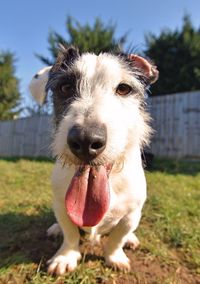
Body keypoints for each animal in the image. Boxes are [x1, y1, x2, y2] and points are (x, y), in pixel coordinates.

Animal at [29, 46, 158, 276]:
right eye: (65, 87)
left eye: (124, 88)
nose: (86, 140)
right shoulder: (61, 206)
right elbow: (70, 233)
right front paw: (65, 257)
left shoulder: (132, 214)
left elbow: (117, 238)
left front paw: (115, 257)